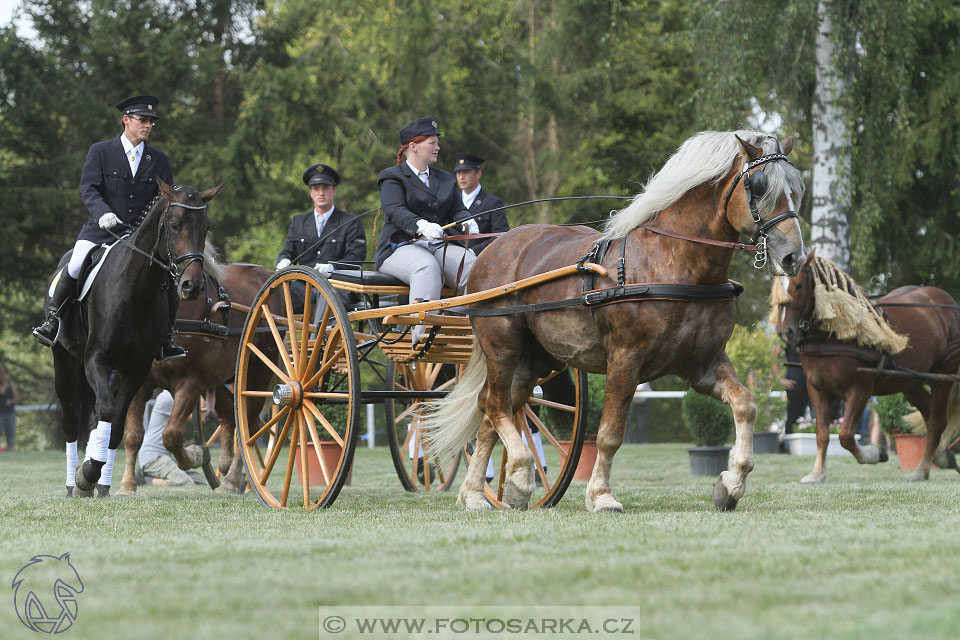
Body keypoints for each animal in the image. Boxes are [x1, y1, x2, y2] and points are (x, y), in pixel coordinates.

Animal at [56, 180, 221, 496]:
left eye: (207, 227)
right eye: (174, 225)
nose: (192, 285)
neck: (135, 290)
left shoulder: (137, 369)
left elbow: (118, 426)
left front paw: (96, 476)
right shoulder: (95, 358)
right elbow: (108, 410)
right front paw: (86, 475)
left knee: (95, 416)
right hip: (66, 362)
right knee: (71, 421)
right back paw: (72, 484)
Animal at [424, 129, 808, 510]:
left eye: (797, 187)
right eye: (760, 186)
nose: (794, 257)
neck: (674, 262)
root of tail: (494, 247)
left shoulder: (702, 363)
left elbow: (746, 404)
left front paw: (730, 483)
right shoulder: (626, 358)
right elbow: (609, 433)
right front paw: (601, 495)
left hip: (535, 358)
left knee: (496, 410)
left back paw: (478, 493)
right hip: (502, 343)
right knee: (495, 405)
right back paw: (518, 475)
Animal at [772, 252, 960, 482]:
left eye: (799, 285)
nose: (784, 331)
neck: (833, 333)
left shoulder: (860, 388)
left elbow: (845, 436)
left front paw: (874, 453)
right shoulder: (816, 388)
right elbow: (822, 433)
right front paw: (817, 473)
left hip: (944, 375)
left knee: (936, 421)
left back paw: (922, 470)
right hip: (910, 381)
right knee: (930, 414)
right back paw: (941, 457)